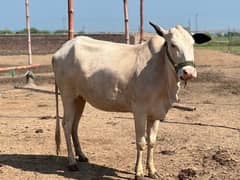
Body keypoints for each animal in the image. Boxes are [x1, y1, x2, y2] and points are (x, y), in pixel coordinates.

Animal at [52, 21, 210, 179]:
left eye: (192, 44)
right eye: (173, 44)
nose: (189, 72)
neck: (161, 70)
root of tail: (60, 51)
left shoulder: (156, 113)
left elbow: (152, 142)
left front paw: (152, 170)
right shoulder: (139, 110)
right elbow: (141, 142)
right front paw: (139, 172)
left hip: (80, 98)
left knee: (75, 125)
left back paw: (82, 155)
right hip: (68, 96)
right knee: (66, 125)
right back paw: (72, 162)